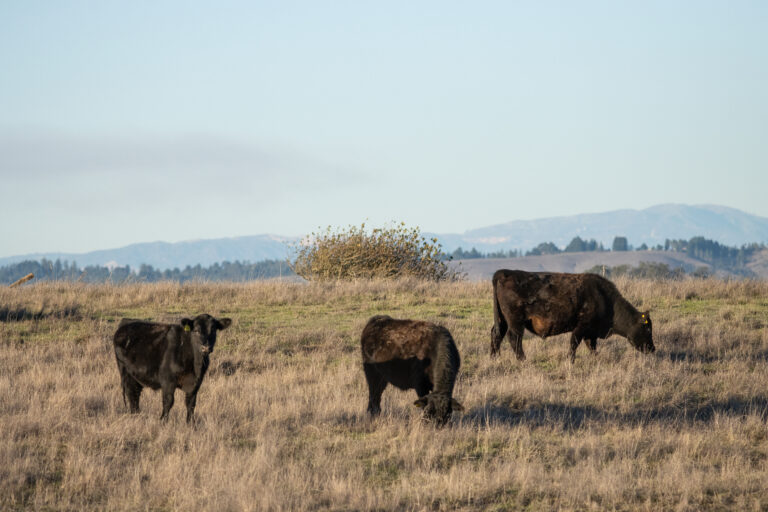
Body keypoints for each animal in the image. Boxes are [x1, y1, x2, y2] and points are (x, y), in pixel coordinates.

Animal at [492, 270, 656, 362]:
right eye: (647, 328)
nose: (652, 348)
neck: (604, 297)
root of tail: (504, 272)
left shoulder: (591, 332)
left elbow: (591, 346)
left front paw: (596, 358)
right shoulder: (581, 327)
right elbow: (574, 343)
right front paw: (570, 360)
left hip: (502, 320)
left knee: (496, 334)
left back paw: (494, 358)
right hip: (516, 322)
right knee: (514, 338)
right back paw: (522, 360)